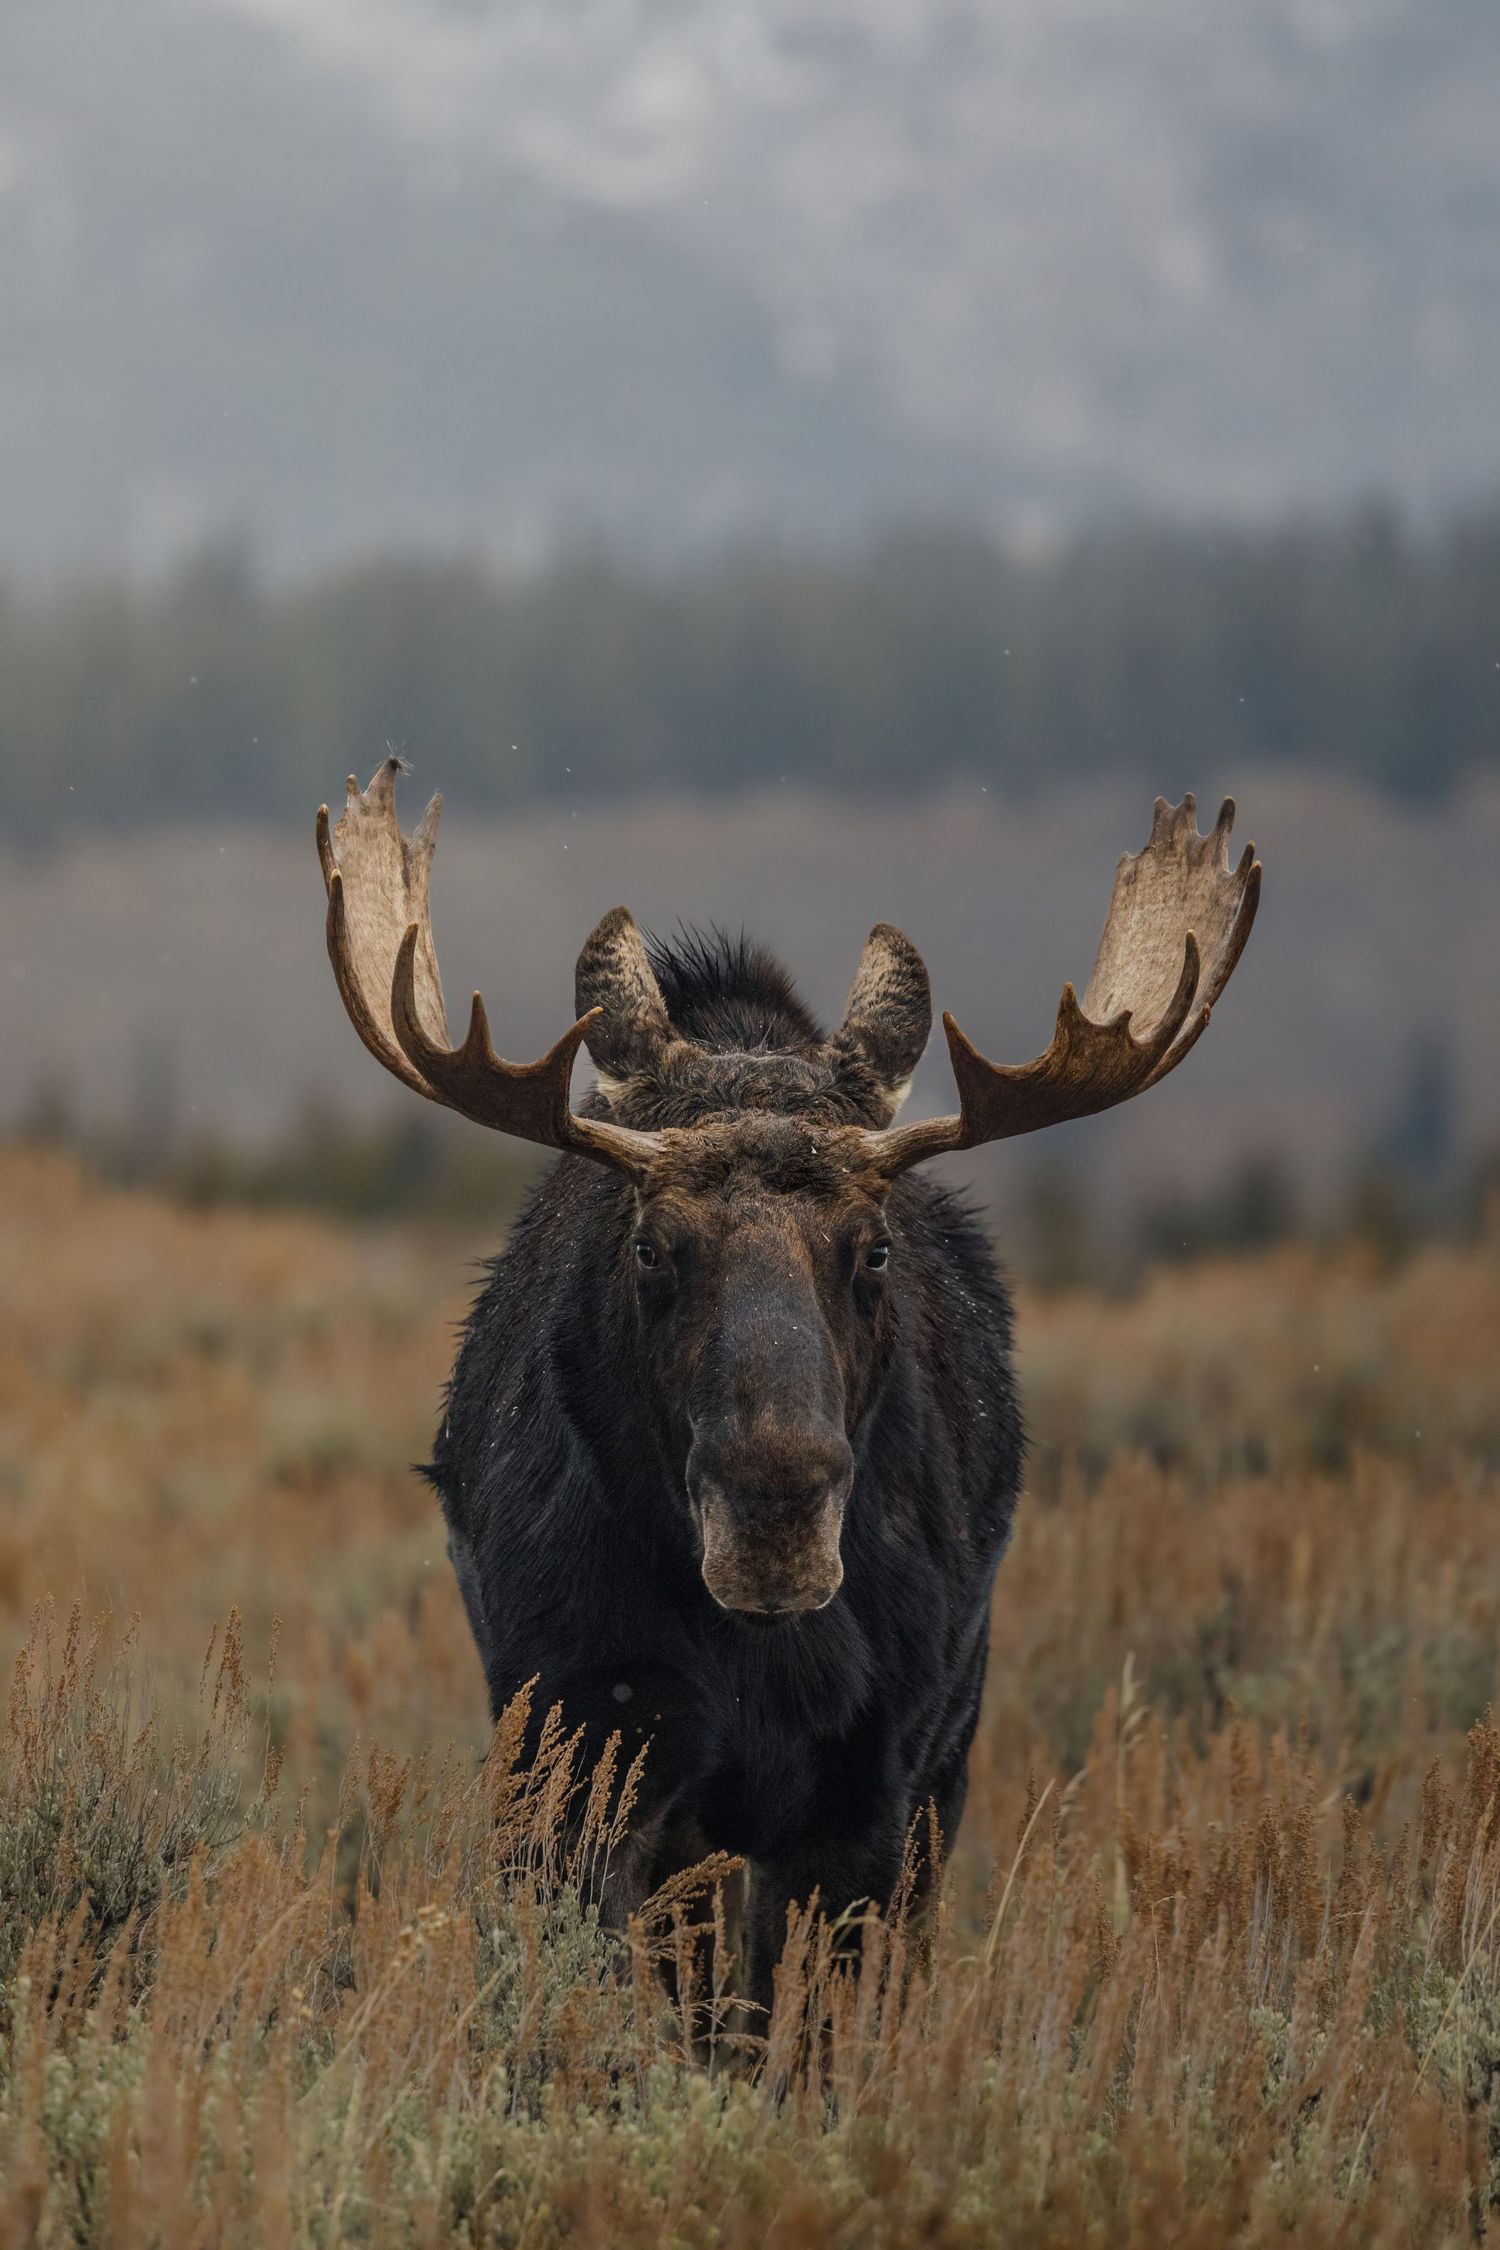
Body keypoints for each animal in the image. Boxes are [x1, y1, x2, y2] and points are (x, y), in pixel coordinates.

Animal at [316, 757, 1260, 2015]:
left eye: (875, 1250)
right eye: (651, 1246)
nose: (773, 1514)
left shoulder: (869, 1791)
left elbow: (805, 2024)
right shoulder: (581, 1751)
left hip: (944, 1764)